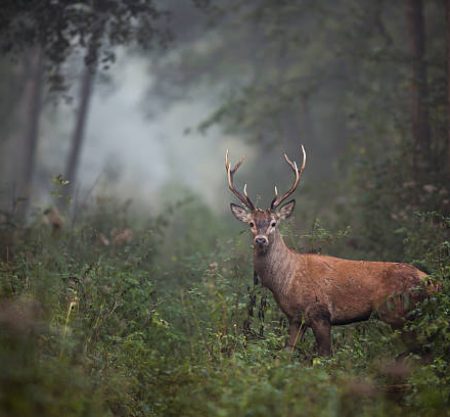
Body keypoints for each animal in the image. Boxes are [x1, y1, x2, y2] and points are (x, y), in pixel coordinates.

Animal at [227, 144, 430, 354]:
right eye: (251, 223)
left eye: (274, 223)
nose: (260, 239)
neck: (286, 282)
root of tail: (431, 281)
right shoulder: (296, 318)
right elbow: (287, 353)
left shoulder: (320, 313)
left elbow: (325, 355)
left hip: (398, 312)